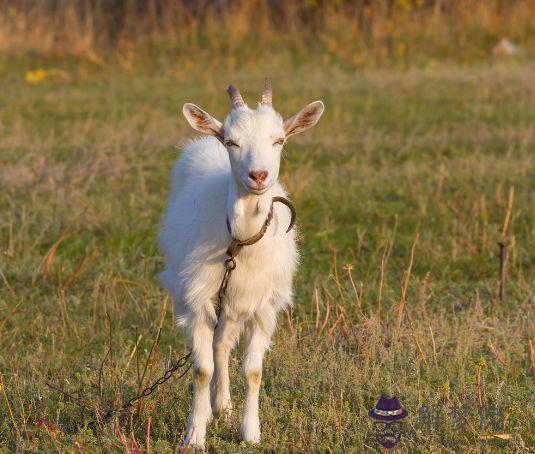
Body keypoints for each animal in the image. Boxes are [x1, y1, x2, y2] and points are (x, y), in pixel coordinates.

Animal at [159, 81, 324, 446]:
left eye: (279, 140)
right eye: (232, 141)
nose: (258, 175)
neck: (241, 240)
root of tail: (205, 139)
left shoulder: (263, 305)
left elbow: (253, 371)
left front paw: (250, 432)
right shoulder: (198, 299)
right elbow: (201, 370)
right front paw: (195, 435)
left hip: (234, 304)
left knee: (222, 345)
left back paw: (224, 407)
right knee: (214, 349)